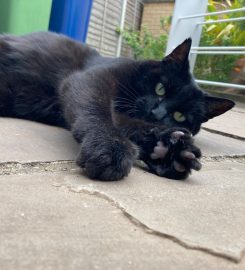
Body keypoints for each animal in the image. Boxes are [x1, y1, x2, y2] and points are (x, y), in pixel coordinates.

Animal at [0, 31, 234, 180]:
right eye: (160, 88)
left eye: (179, 116)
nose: (156, 113)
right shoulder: (92, 80)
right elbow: (98, 111)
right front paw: (110, 146)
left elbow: (130, 123)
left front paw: (170, 149)